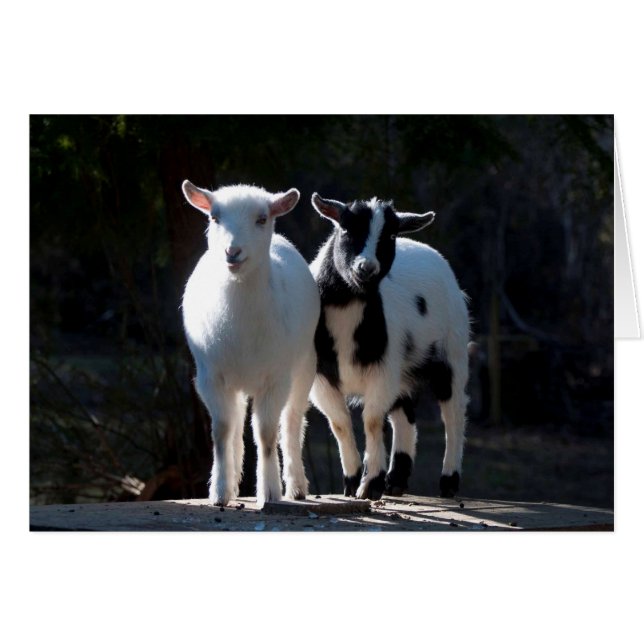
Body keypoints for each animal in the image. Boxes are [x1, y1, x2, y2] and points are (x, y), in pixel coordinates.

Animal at [181, 182, 320, 507]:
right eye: (214, 217)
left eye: (262, 218)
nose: (232, 252)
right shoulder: (210, 376)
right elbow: (221, 431)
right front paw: (219, 492)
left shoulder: (275, 378)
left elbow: (267, 434)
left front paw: (269, 491)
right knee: (234, 423)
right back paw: (233, 482)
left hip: (304, 365)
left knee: (292, 421)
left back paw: (297, 485)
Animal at [309, 193, 469, 500]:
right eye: (345, 229)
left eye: (391, 235)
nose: (366, 268)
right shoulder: (321, 376)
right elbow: (340, 423)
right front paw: (352, 482)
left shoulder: (381, 371)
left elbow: (371, 421)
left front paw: (370, 484)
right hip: (403, 368)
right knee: (405, 414)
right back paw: (396, 481)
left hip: (452, 353)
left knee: (453, 413)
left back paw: (449, 481)